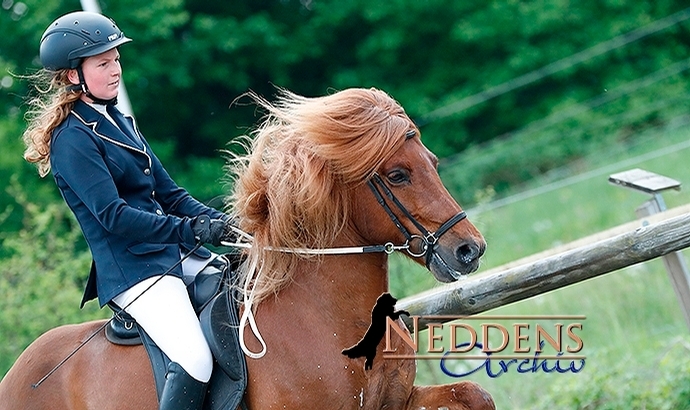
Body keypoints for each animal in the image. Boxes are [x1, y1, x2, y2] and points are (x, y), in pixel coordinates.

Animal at [0, 88, 492, 408]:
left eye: (432, 163)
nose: (469, 250)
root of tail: (16, 376)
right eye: (397, 176)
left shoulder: (396, 402)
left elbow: (475, 394)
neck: (324, 314)